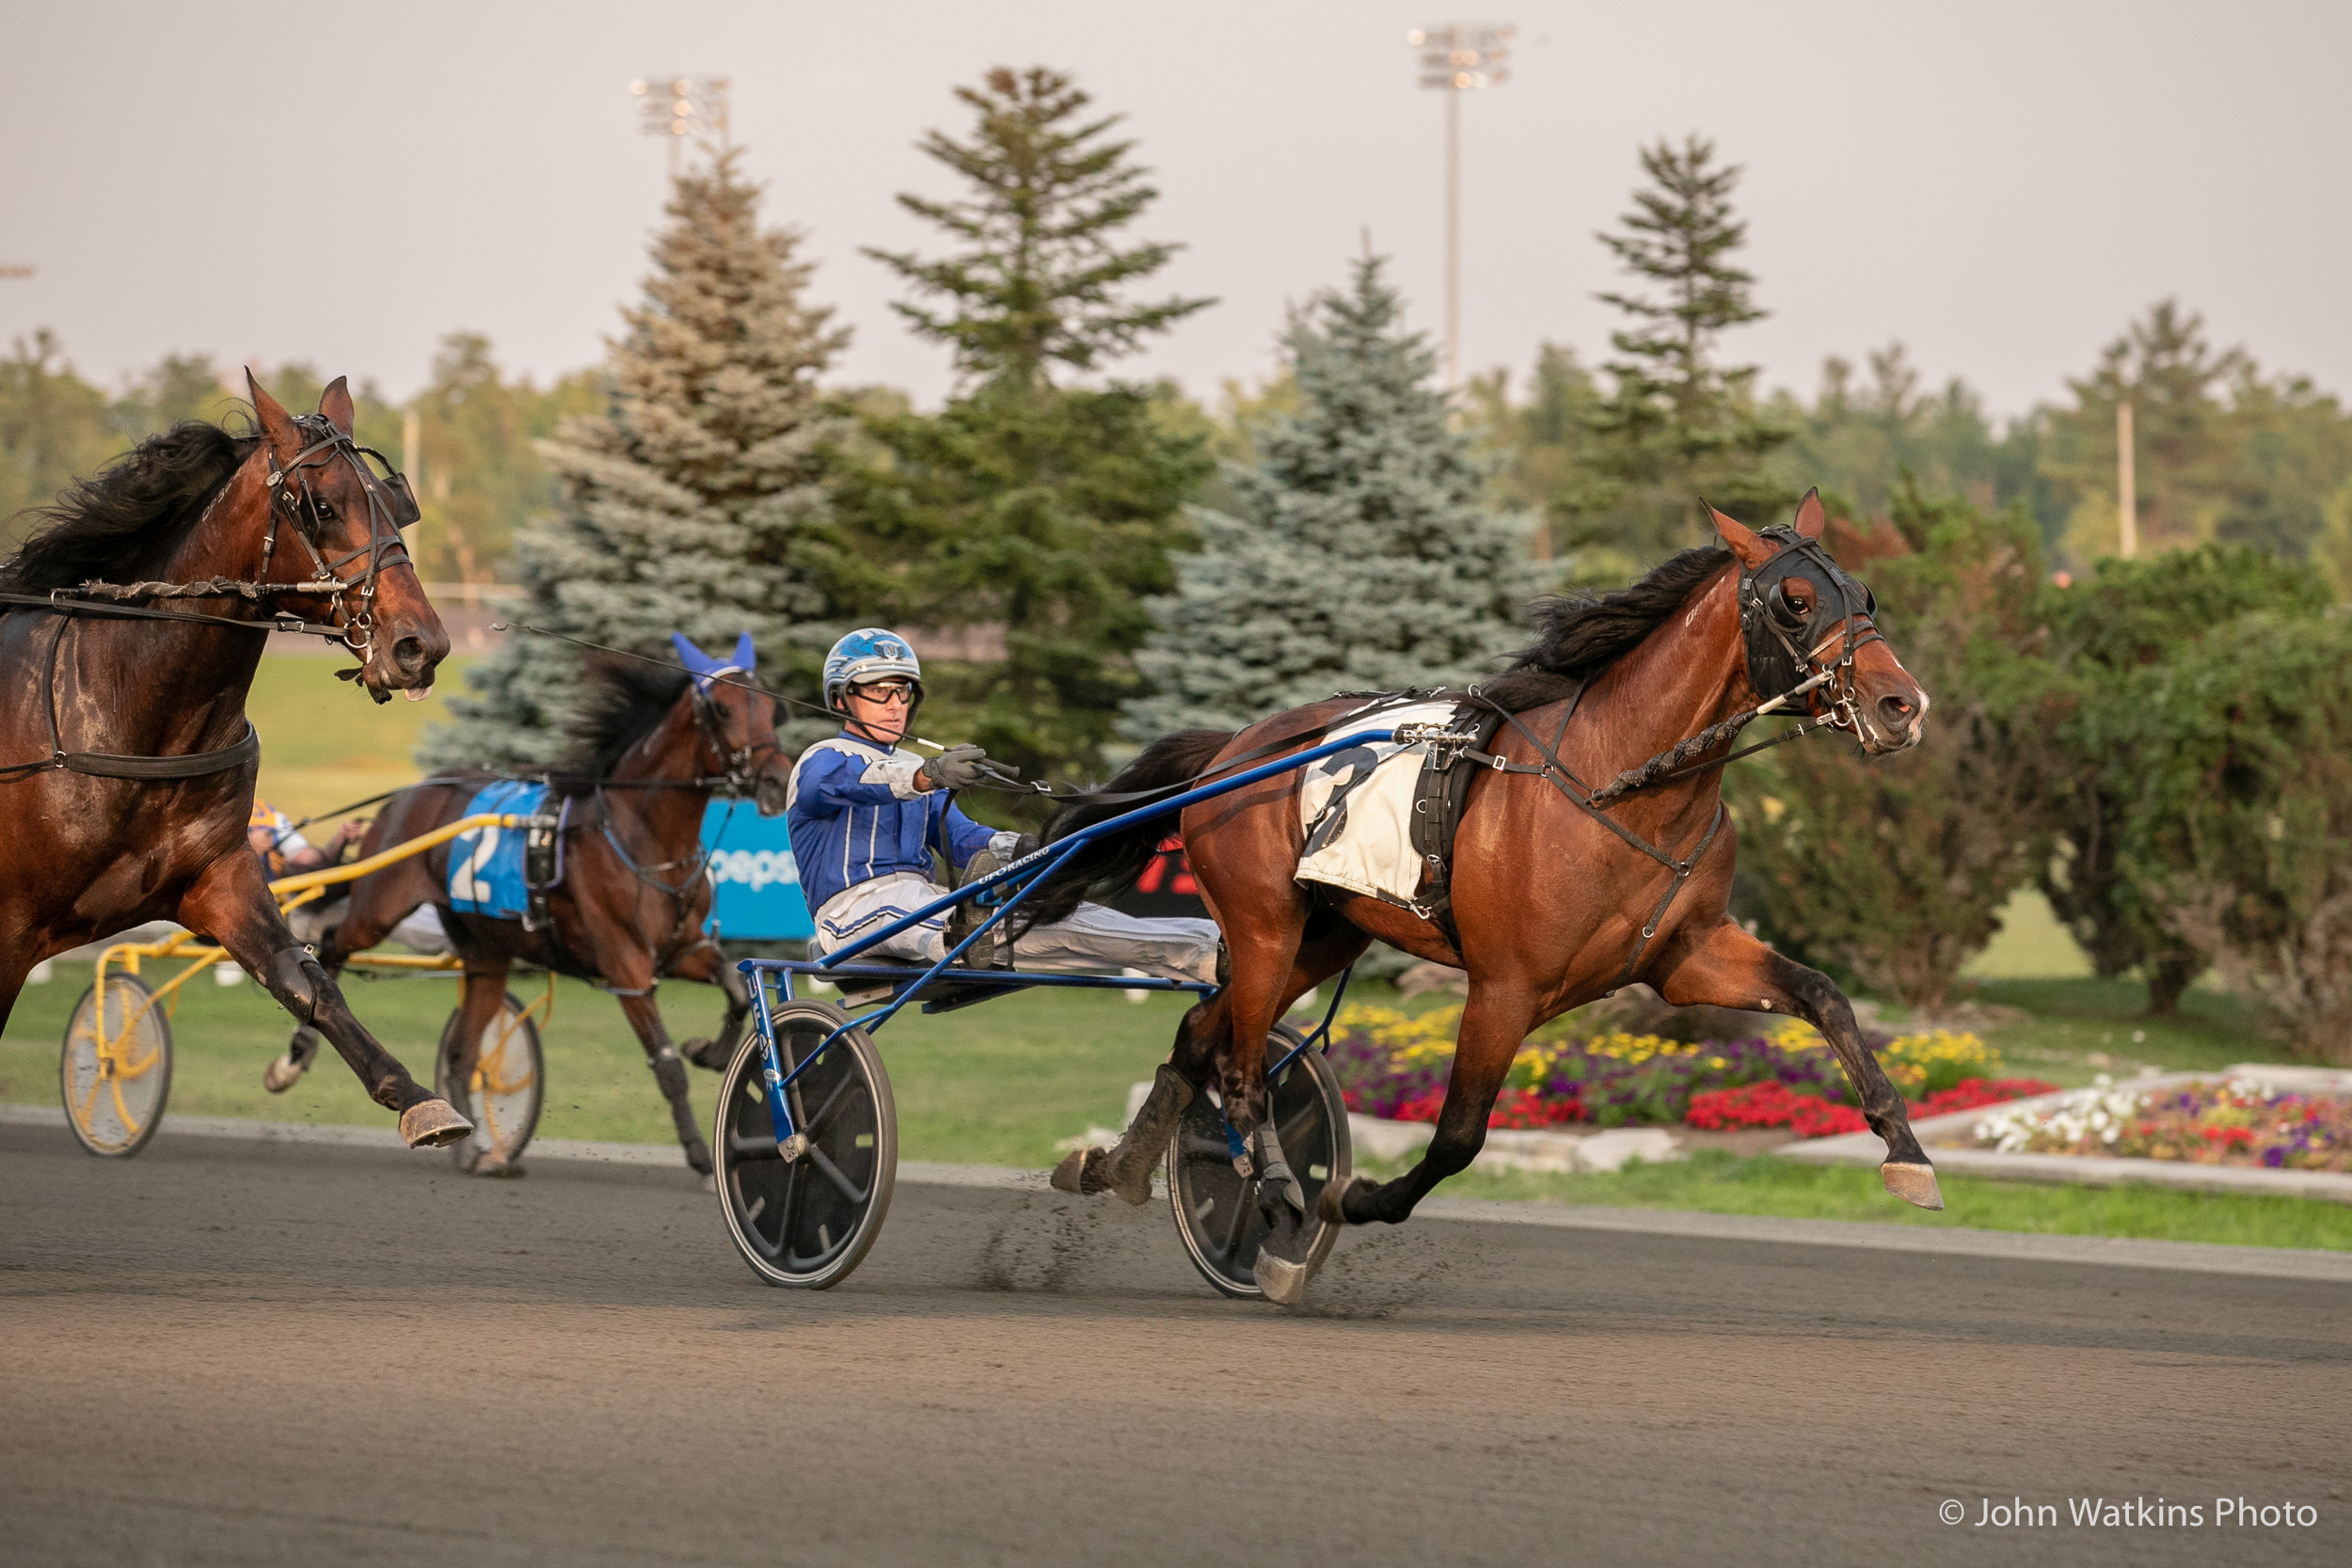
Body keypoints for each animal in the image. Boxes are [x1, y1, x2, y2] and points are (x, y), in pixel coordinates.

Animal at [0, 373, 472, 1147]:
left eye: (388, 496)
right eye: (319, 505)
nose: (419, 645)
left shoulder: (216, 877)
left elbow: (306, 983)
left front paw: (419, 1100)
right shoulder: (9, 927)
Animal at [270, 629, 795, 1170]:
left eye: (770, 708)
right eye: (722, 709)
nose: (779, 780)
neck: (644, 838)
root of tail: (412, 793)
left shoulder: (681, 948)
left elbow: (735, 987)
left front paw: (710, 1050)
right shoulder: (626, 966)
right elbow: (667, 1065)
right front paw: (698, 1154)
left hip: (486, 953)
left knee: (463, 1050)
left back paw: (474, 1148)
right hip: (380, 904)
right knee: (334, 943)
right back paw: (293, 1058)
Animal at [1040, 493, 1938, 1297]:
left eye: (1864, 595)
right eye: (1795, 601)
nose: (1903, 704)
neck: (1619, 783)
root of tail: (1234, 747)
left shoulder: (1687, 955)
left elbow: (1823, 996)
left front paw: (1908, 1153)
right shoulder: (1505, 986)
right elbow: (1459, 1136)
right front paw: (1350, 1196)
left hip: (1324, 933)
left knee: (1202, 1031)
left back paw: (1118, 1166)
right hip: (1264, 927)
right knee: (1243, 1065)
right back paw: (1276, 1195)